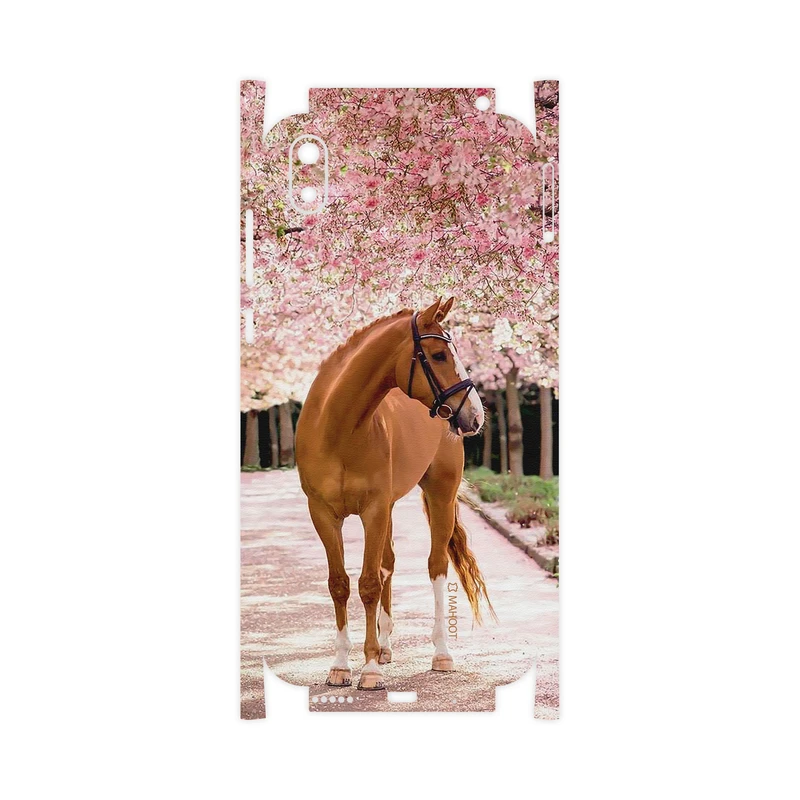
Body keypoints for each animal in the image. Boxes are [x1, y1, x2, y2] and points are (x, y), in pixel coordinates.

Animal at [295, 297, 494, 690]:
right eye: (438, 355)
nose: (476, 416)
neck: (338, 428)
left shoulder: (373, 510)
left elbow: (369, 583)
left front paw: (369, 670)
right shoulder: (324, 514)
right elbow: (340, 583)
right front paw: (341, 666)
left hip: (439, 494)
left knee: (435, 566)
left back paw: (440, 653)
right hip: (388, 508)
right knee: (388, 563)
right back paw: (385, 646)